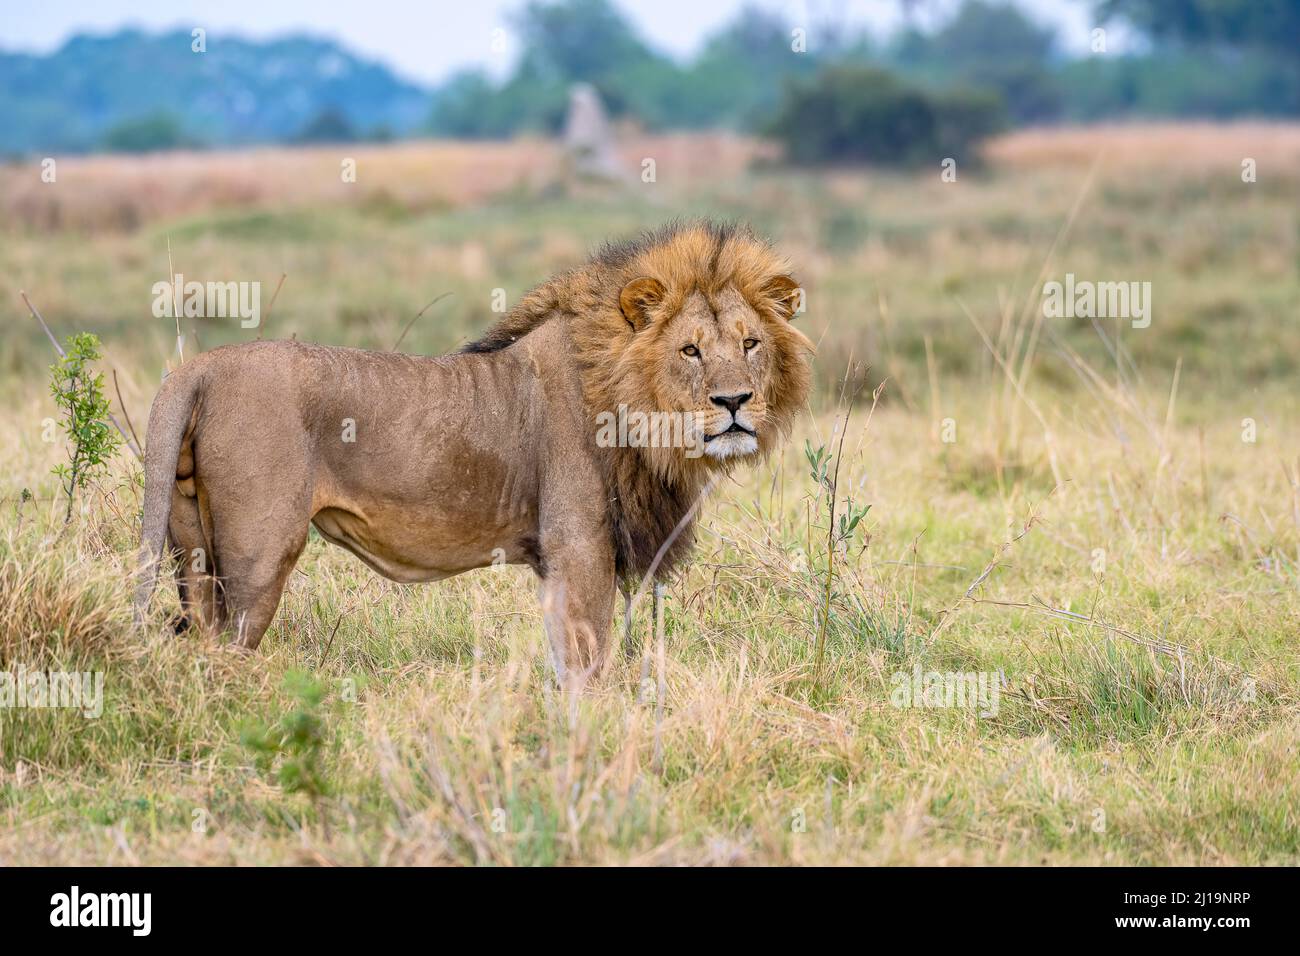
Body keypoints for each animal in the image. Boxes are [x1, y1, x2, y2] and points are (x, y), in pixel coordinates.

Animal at [134, 220, 813, 684]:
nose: (734, 401)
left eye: (751, 343)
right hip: (258, 555)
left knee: (197, 639)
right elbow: (588, 665)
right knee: (228, 649)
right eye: (690, 350)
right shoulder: (578, 547)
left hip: (191, 546)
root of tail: (194, 369)